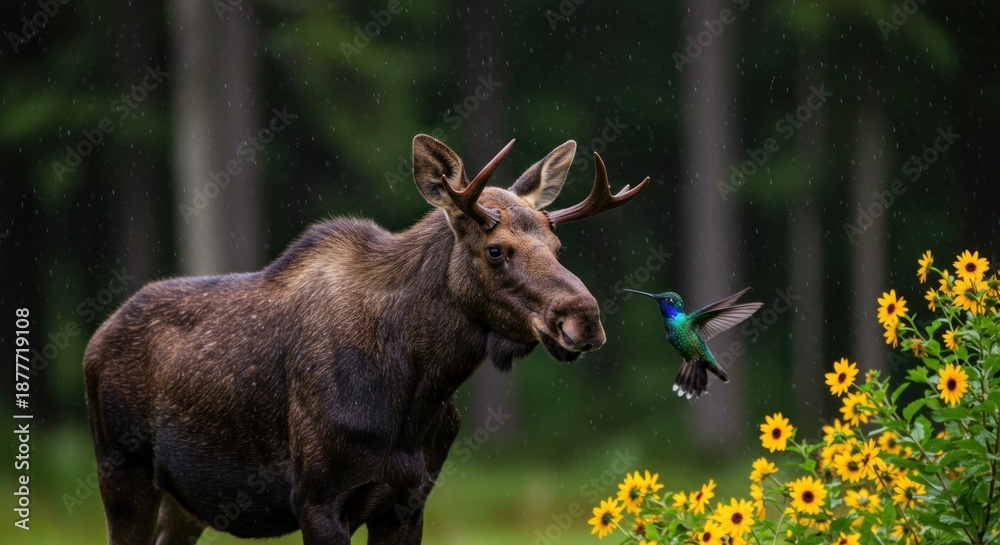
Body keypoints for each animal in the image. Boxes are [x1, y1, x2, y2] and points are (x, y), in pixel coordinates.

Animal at [83, 134, 649, 545]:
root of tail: (96, 339)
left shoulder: (409, 500)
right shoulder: (316, 499)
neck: (417, 389)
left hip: (185, 500)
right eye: (495, 249)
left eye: (557, 244)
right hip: (122, 472)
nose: (584, 318)